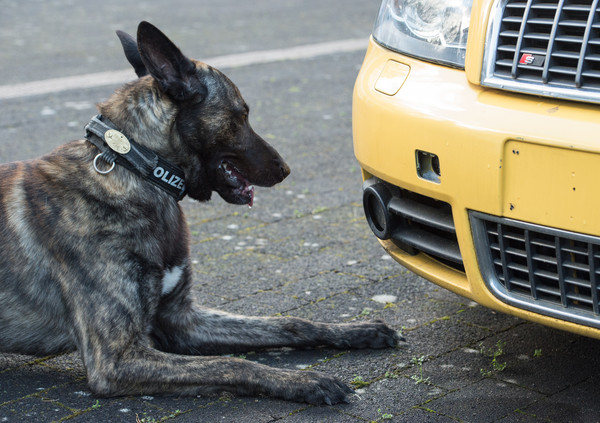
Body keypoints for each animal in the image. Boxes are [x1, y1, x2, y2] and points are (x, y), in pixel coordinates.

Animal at [1, 21, 404, 406]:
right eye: (241, 115)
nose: (286, 169)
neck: (136, 168)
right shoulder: (116, 359)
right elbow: (232, 364)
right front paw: (306, 381)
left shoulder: (181, 320)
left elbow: (289, 323)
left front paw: (356, 331)